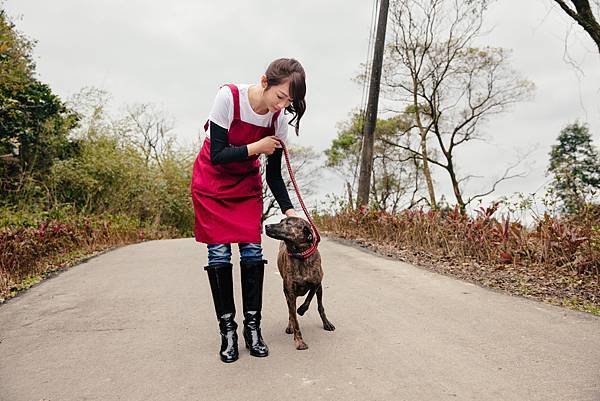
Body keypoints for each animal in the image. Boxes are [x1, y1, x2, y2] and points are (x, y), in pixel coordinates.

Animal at [264, 216, 336, 350]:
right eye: (281, 221)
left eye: (288, 223)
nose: (266, 226)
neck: (300, 255)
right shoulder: (290, 294)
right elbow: (294, 319)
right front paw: (299, 341)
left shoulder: (317, 283)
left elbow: (308, 299)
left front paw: (301, 310)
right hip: (286, 293)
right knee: (290, 312)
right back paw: (290, 326)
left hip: (320, 290)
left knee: (320, 306)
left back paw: (326, 323)